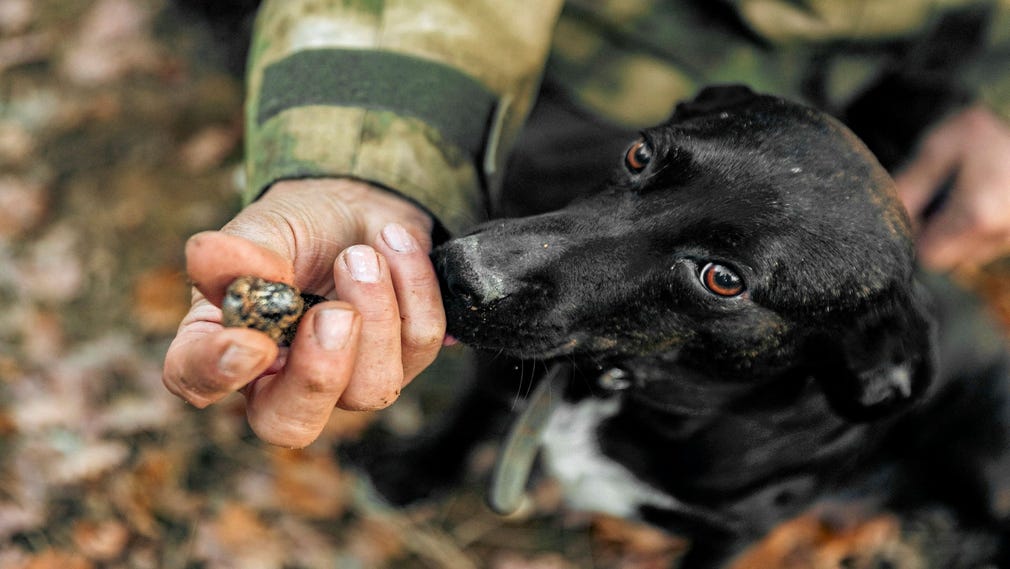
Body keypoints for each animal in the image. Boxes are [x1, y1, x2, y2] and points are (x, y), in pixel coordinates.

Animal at [369, 86, 1010, 565]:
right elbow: (469, 416)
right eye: (639, 154)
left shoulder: (729, 541)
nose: (462, 273)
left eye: (722, 278)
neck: (628, 390)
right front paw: (409, 474)